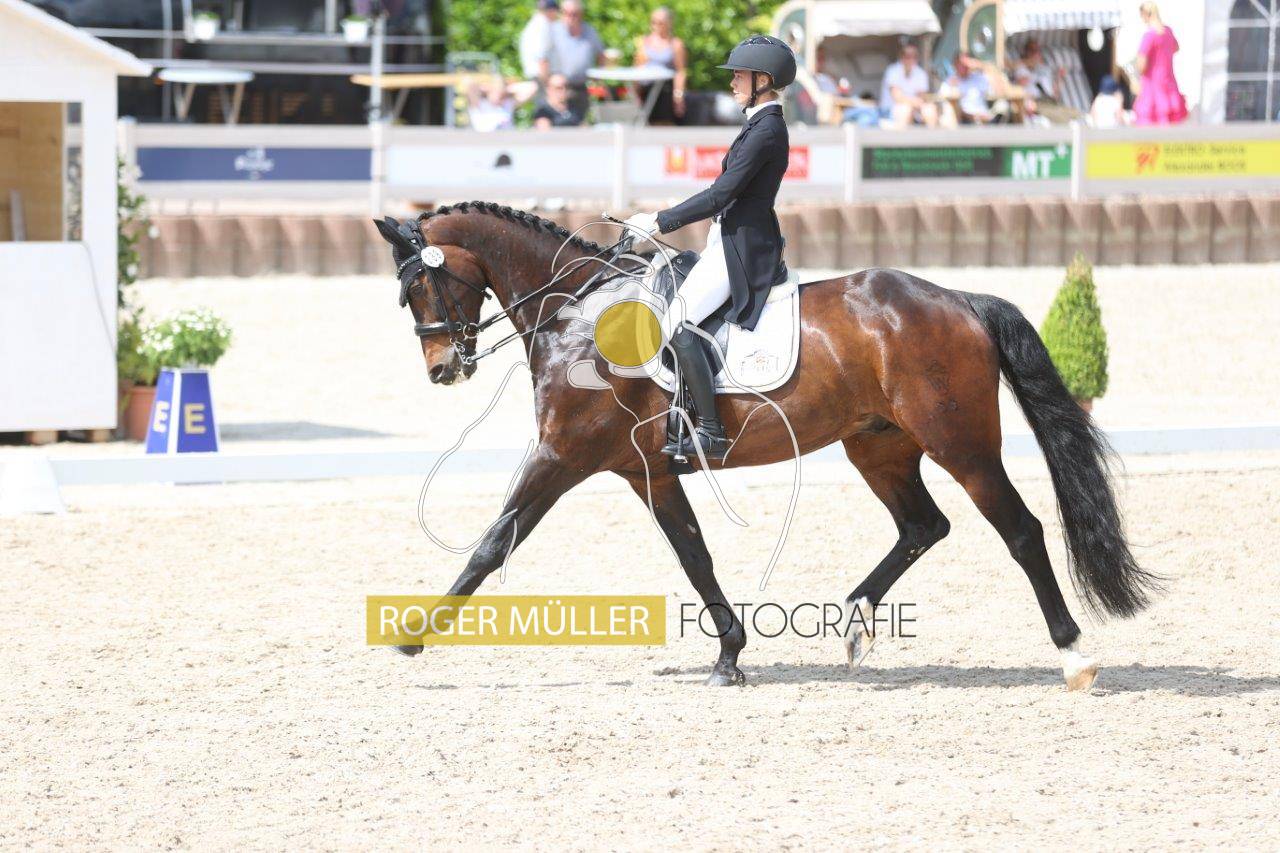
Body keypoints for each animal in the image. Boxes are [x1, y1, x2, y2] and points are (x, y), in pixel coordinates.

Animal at [373, 201, 1158, 690]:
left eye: (422, 286)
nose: (443, 369)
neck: (581, 315)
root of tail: (961, 299)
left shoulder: (561, 457)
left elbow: (491, 543)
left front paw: (412, 636)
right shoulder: (647, 471)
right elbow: (694, 556)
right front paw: (729, 655)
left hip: (961, 444)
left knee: (1020, 530)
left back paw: (1073, 657)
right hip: (878, 445)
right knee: (923, 525)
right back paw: (855, 622)